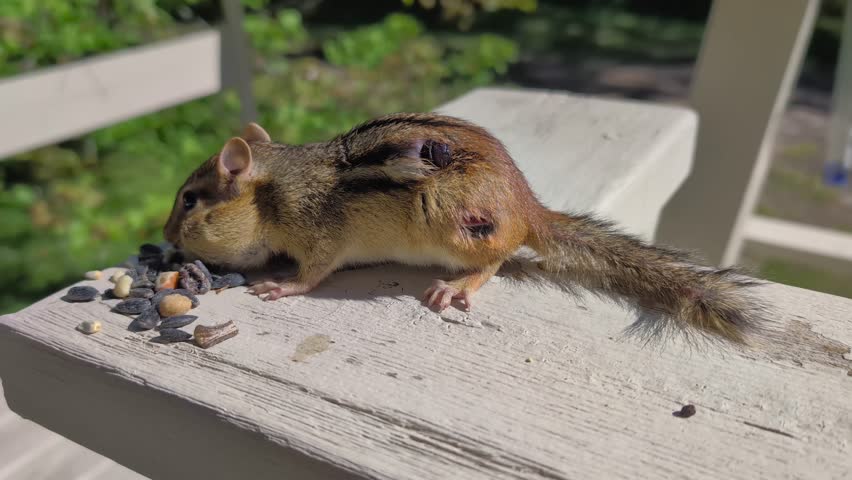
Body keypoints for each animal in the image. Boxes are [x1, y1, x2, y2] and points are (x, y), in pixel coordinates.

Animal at [164, 113, 763, 344]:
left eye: (190, 200)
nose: (167, 239)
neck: (275, 190)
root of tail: (528, 209)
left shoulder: (318, 235)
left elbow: (312, 274)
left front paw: (279, 285)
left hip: (453, 222)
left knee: (496, 259)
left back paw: (456, 286)